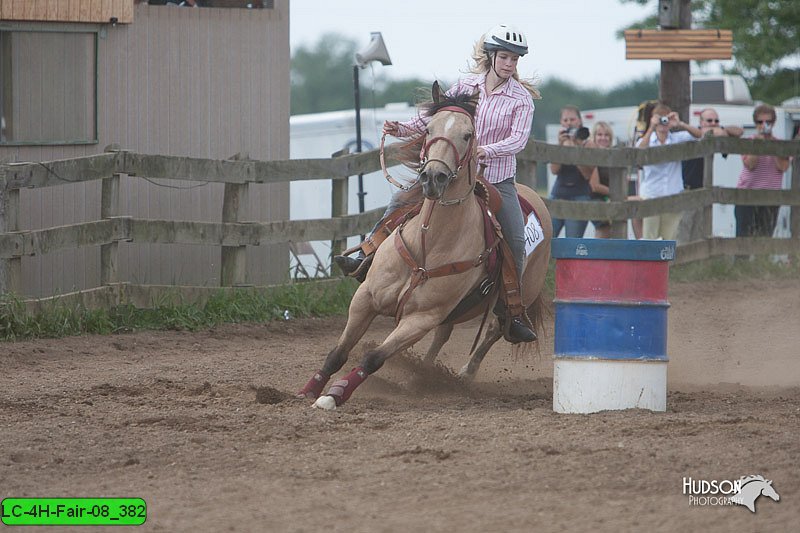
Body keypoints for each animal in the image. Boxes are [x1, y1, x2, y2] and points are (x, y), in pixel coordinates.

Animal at [296, 81, 552, 410]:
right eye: (428, 128)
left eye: (468, 134)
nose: (433, 177)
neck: (428, 243)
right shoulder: (366, 298)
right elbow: (338, 352)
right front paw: (309, 390)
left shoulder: (421, 318)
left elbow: (373, 357)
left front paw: (334, 394)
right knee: (443, 334)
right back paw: (422, 375)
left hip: (517, 296)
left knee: (496, 329)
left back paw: (464, 373)